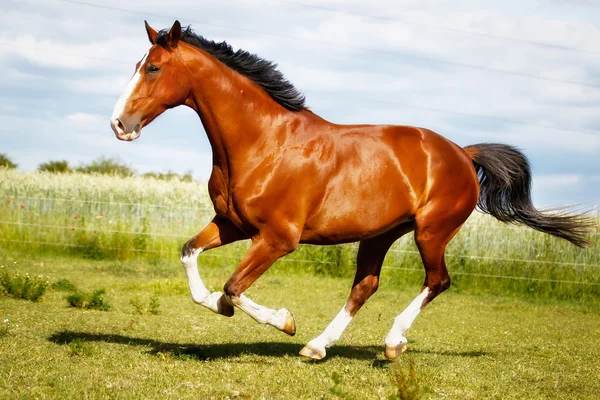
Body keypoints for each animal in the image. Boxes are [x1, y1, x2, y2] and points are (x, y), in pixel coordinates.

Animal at [109, 21, 592, 360]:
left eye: (153, 68)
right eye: (137, 65)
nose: (119, 124)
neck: (263, 141)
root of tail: (460, 152)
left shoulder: (277, 239)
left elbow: (233, 287)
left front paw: (284, 321)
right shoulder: (232, 225)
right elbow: (190, 256)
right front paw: (218, 304)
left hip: (431, 232)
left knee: (437, 281)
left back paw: (392, 344)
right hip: (380, 235)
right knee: (365, 286)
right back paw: (317, 346)